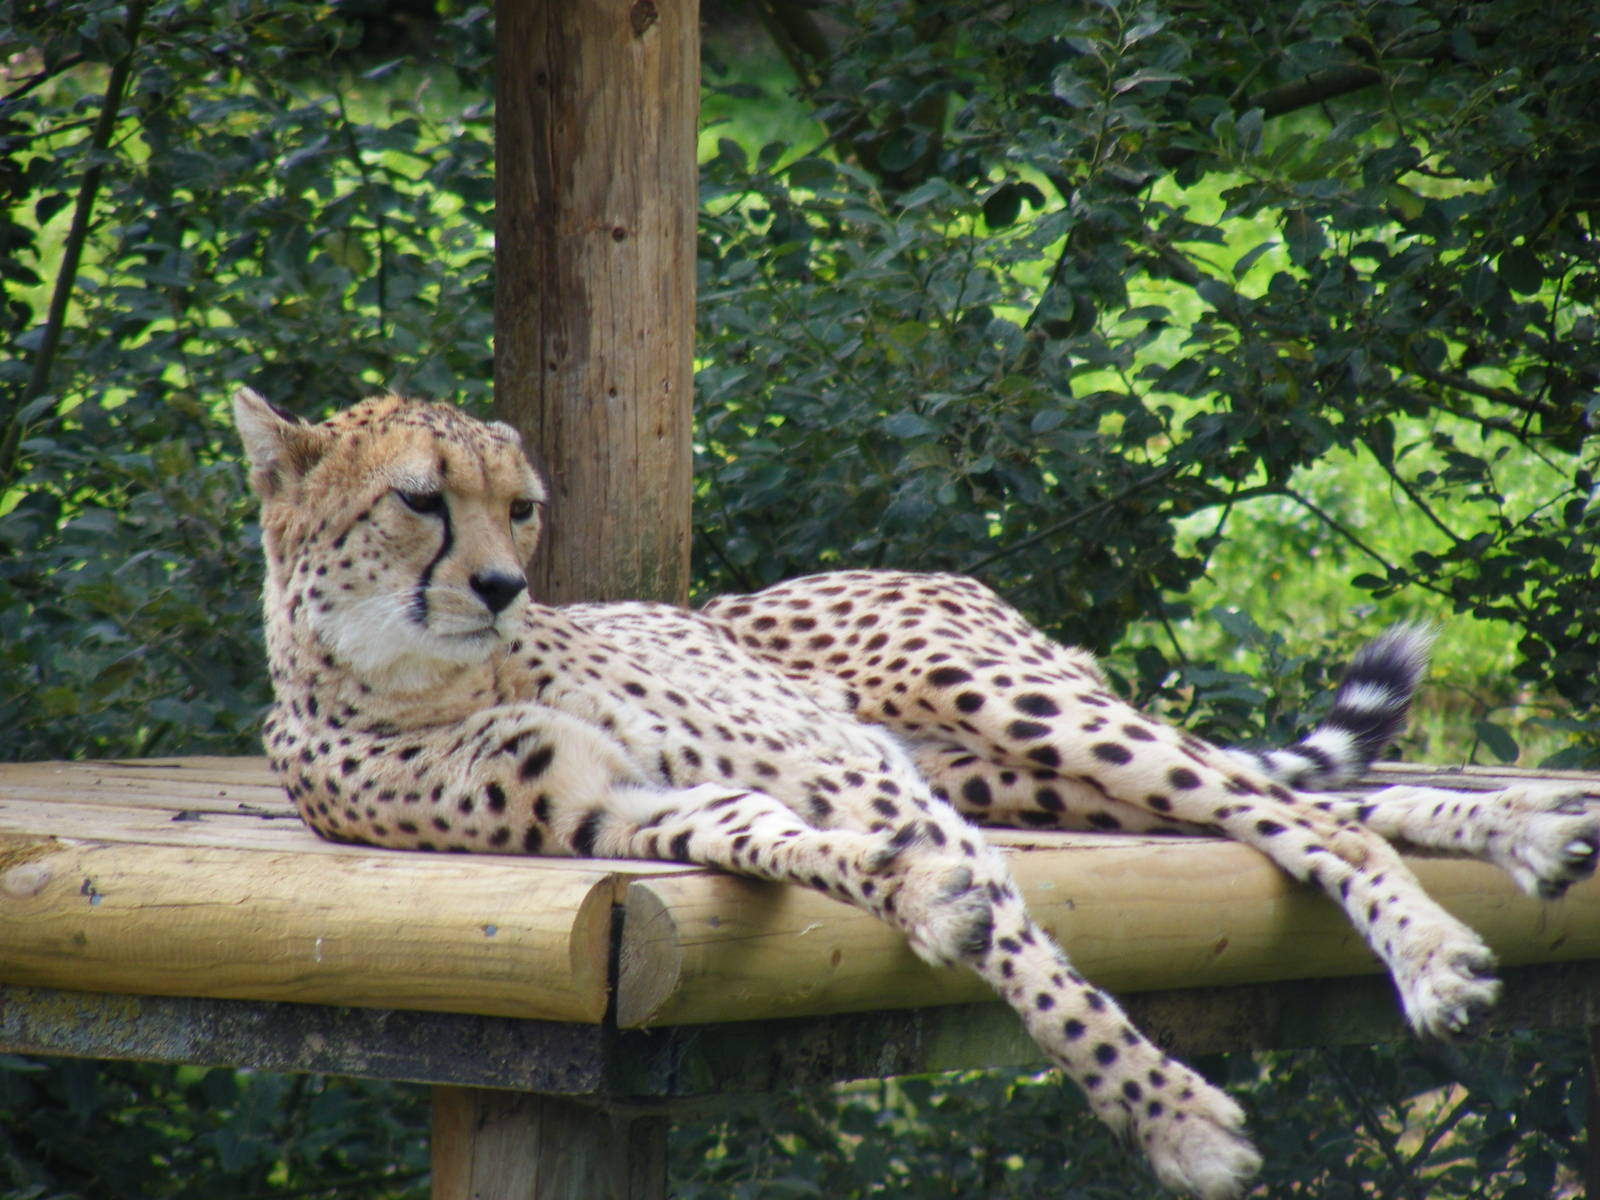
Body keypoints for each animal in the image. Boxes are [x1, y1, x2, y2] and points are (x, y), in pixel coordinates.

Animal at [234, 387, 1599, 1200]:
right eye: (422, 500)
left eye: (518, 507)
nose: (506, 584)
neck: (419, 678)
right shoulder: (618, 814)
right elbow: (780, 843)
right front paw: (918, 896)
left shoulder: (839, 770)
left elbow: (1031, 965)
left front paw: (1165, 1117)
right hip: (1019, 780)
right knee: (1307, 806)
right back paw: (1531, 833)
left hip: (1012, 706)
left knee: (1298, 811)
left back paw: (1437, 948)